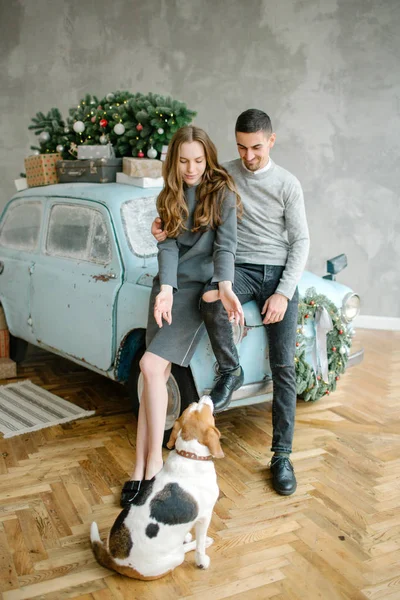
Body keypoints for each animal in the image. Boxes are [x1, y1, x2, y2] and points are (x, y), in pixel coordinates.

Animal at [89, 396, 223, 580]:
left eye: (195, 406)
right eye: (203, 408)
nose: (205, 397)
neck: (189, 455)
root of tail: (114, 560)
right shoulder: (205, 516)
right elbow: (200, 545)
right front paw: (202, 560)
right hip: (176, 557)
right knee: (183, 550)